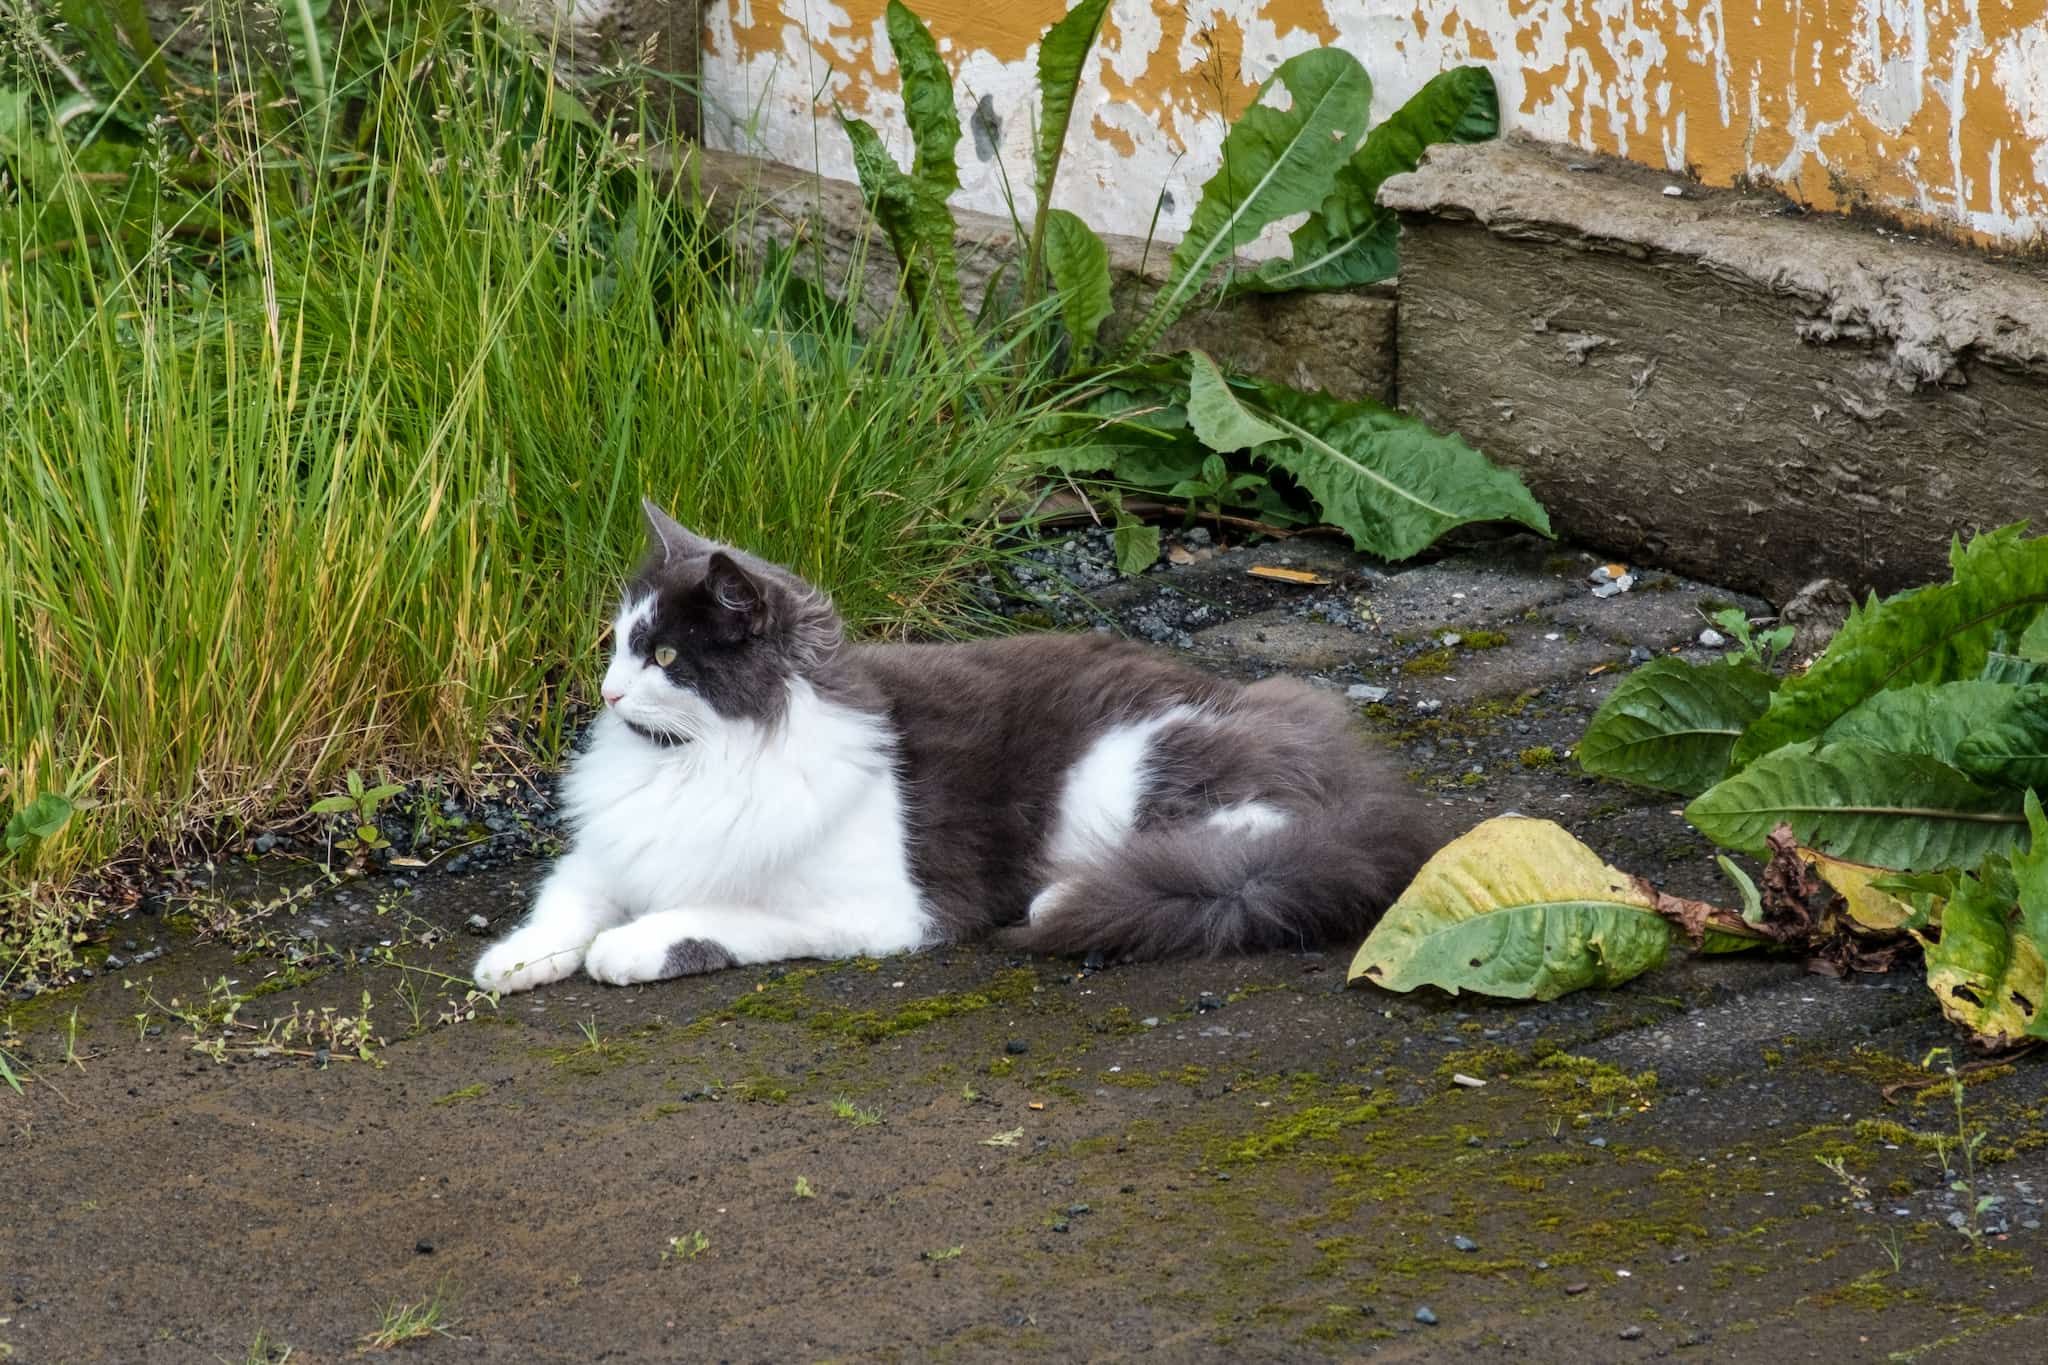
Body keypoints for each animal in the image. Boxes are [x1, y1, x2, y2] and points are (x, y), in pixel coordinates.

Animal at [473, 501, 1449, 994]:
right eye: (617, 645)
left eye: (666, 656)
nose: (605, 692)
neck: (697, 763)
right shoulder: (611, 851)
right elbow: (562, 904)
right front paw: (515, 961)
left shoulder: (875, 909)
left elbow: (715, 917)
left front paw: (629, 947)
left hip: (1120, 771)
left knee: (1234, 852)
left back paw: (1072, 894)